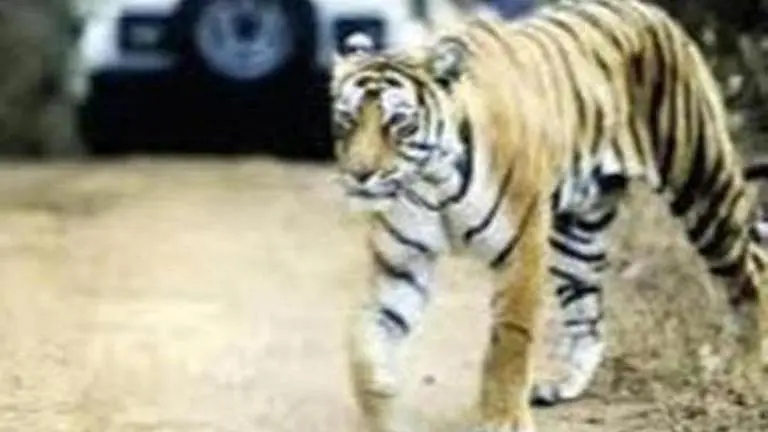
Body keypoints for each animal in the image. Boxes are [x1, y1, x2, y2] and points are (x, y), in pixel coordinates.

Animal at [330, 0, 768, 431]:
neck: (433, 183)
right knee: (587, 316)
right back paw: (564, 385)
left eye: (399, 123)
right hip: (578, 233)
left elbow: (509, 340)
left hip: (703, 185)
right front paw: (380, 403)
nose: (359, 174)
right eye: (347, 119)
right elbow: (366, 338)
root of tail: (651, 11)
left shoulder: (520, 251)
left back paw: (746, 370)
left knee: (749, 275)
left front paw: (503, 419)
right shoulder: (401, 264)